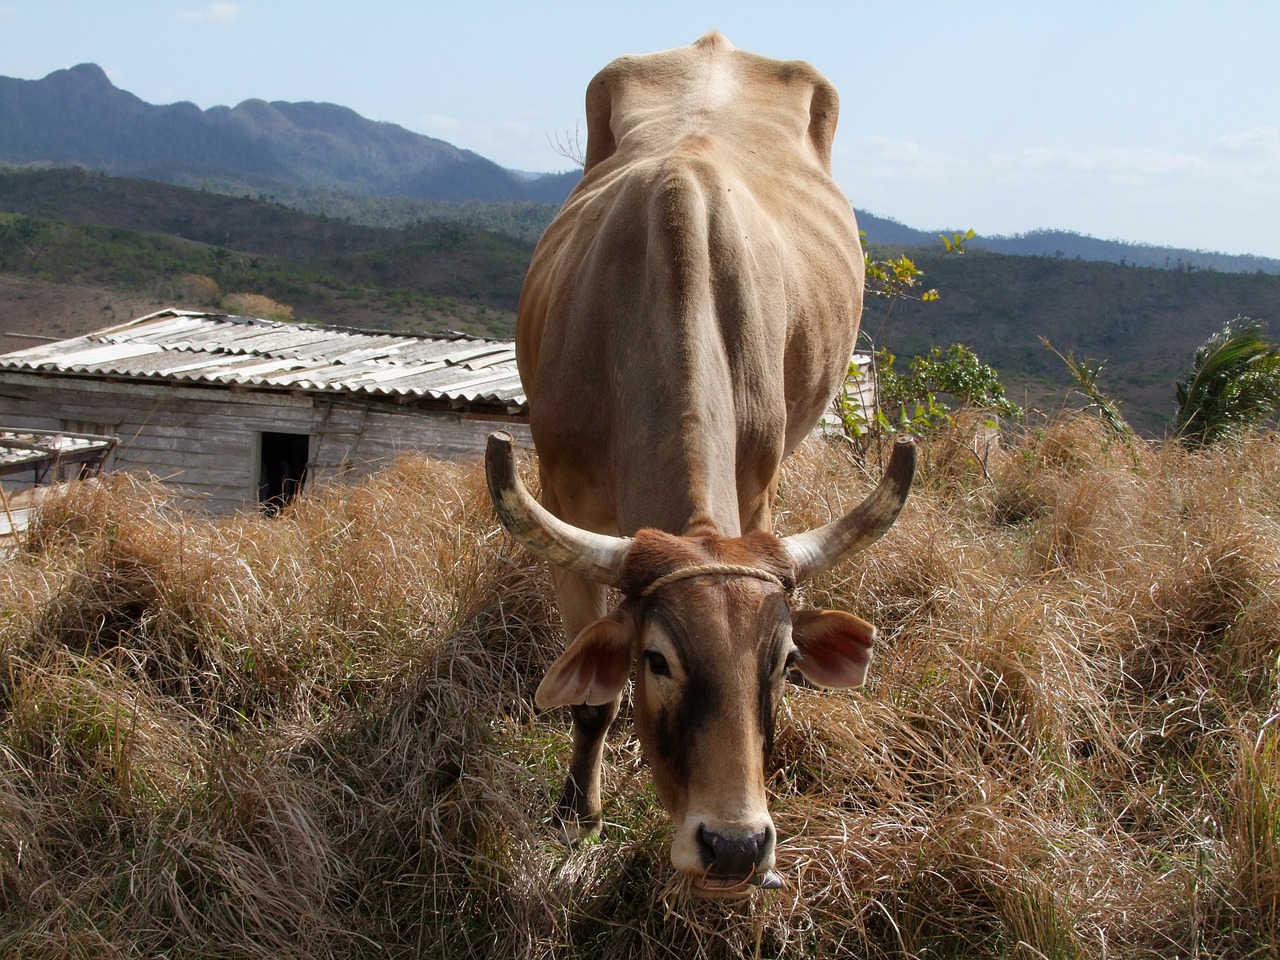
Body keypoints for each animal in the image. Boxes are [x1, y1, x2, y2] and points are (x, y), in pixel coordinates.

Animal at [483, 32, 916, 901]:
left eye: (784, 662)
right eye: (657, 660)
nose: (736, 846)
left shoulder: (759, 489)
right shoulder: (563, 499)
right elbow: (592, 702)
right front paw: (577, 816)